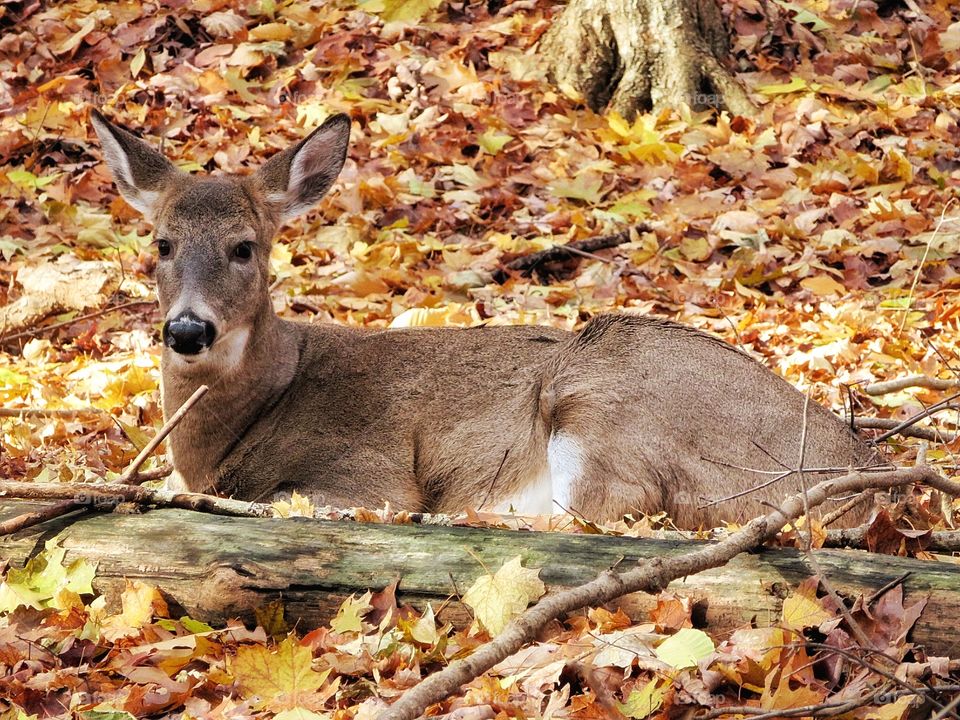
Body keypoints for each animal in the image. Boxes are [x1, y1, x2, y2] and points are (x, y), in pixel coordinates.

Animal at [90, 109, 876, 524]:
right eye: (161, 244)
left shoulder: (363, 473)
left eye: (244, 246)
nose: (188, 329)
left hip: (605, 392)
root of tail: (860, 472)